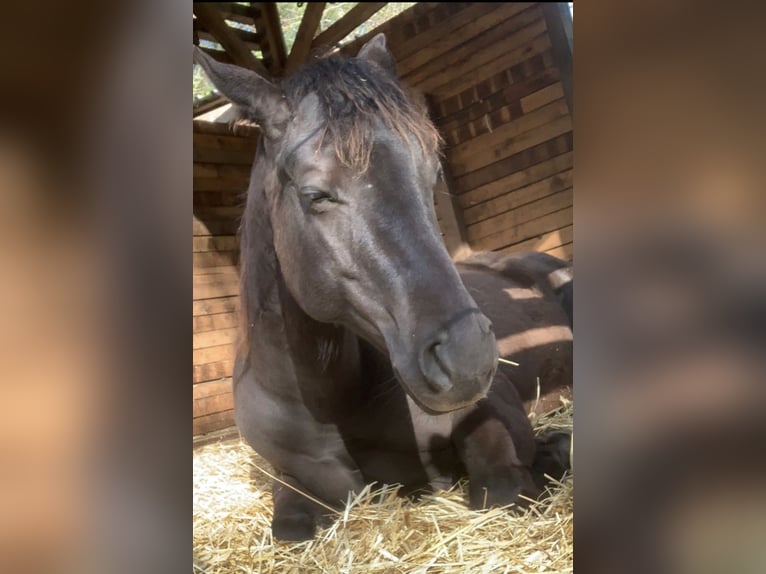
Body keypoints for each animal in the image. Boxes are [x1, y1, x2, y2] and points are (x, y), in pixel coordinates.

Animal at [193, 34, 573, 541]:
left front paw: (553, 453)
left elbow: (502, 491)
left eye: (432, 174)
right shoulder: (295, 481)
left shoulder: (497, 419)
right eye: (316, 195)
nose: (467, 357)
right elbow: (291, 529)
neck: (333, 401)